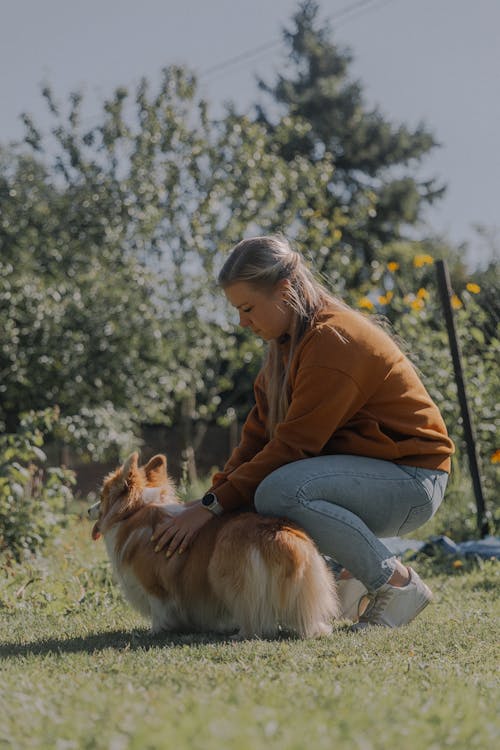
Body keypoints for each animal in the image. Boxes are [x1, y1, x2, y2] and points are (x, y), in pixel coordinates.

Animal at [89, 452, 340, 640]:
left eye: (101, 497)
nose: (89, 509)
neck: (136, 511)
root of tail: (279, 532)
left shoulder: (153, 585)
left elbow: (159, 609)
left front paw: (155, 632)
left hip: (226, 573)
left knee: (251, 615)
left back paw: (241, 634)